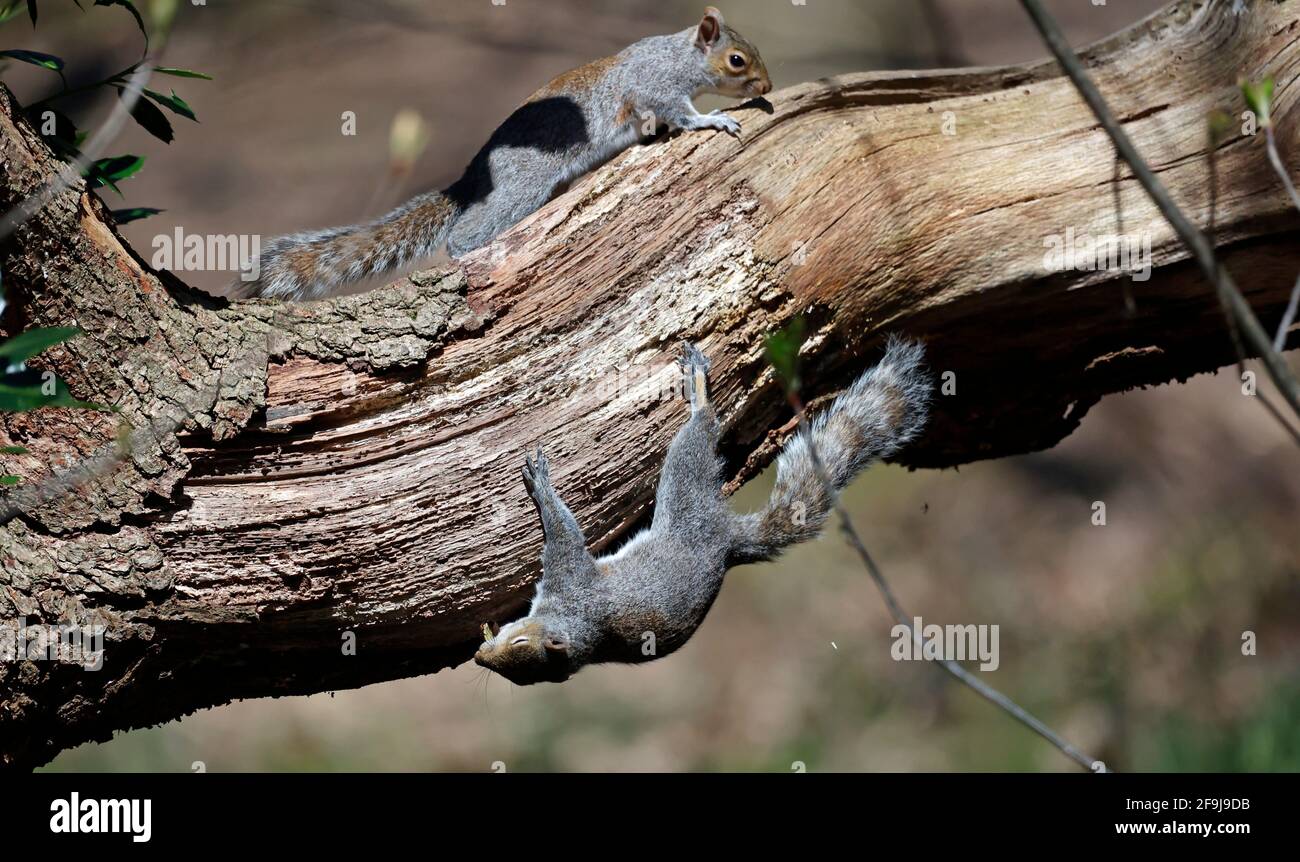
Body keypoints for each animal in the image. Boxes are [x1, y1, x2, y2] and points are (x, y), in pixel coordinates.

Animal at [237, 7, 771, 301]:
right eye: (736, 60)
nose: (766, 86)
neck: (680, 55)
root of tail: (474, 178)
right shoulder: (655, 85)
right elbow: (678, 111)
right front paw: (714, 119)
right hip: (520, 189)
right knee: (467, 233)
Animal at [474, 337, 932, 685]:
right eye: (515, 677)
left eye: (521, 646)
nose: (480, 657)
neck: (575, 627)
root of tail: (729, 540)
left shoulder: (571, 579)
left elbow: (564, 534)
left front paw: (542, 485)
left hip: (684, 488)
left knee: (701, 433)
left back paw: (699, 390)